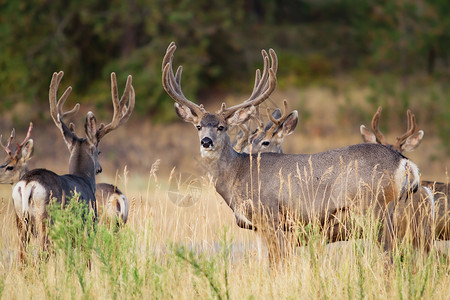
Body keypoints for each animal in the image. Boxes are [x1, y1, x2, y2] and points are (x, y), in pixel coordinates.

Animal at [10, 71, 134, 260]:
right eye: (99, 151)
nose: (99, 168)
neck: (84, 180)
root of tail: (27, 184)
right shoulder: (89, 224)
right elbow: (86, 259)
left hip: (20, 219)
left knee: (22, 256)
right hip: (47, 218)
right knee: (42, 254)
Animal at [163, 41, 422, 264]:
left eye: (221, 127)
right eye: (198, 126)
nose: (206, 142)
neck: (239, 174)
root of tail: (405, 163)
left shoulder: (272, 217)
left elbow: (276, 266)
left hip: (375, 208)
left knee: (391, 255)